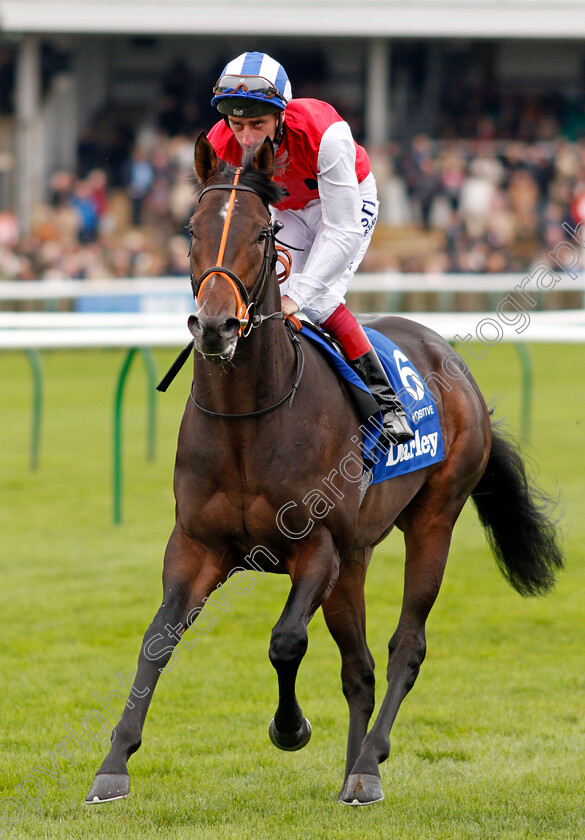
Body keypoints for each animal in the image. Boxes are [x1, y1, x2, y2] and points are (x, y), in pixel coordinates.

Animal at [85, 135, 560, 804]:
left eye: (263, 233)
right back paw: (353, 771)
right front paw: (113, 764)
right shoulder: (197, 546)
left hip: (433, 518)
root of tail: (453, 364)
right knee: (359, 666)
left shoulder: (317, 547)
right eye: (191, 228)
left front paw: (291, 728)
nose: (215, 325)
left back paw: (369, 762)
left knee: (405, 646)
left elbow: (286, 641)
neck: (249, 420)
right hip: (356, 556)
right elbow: (156, 641)